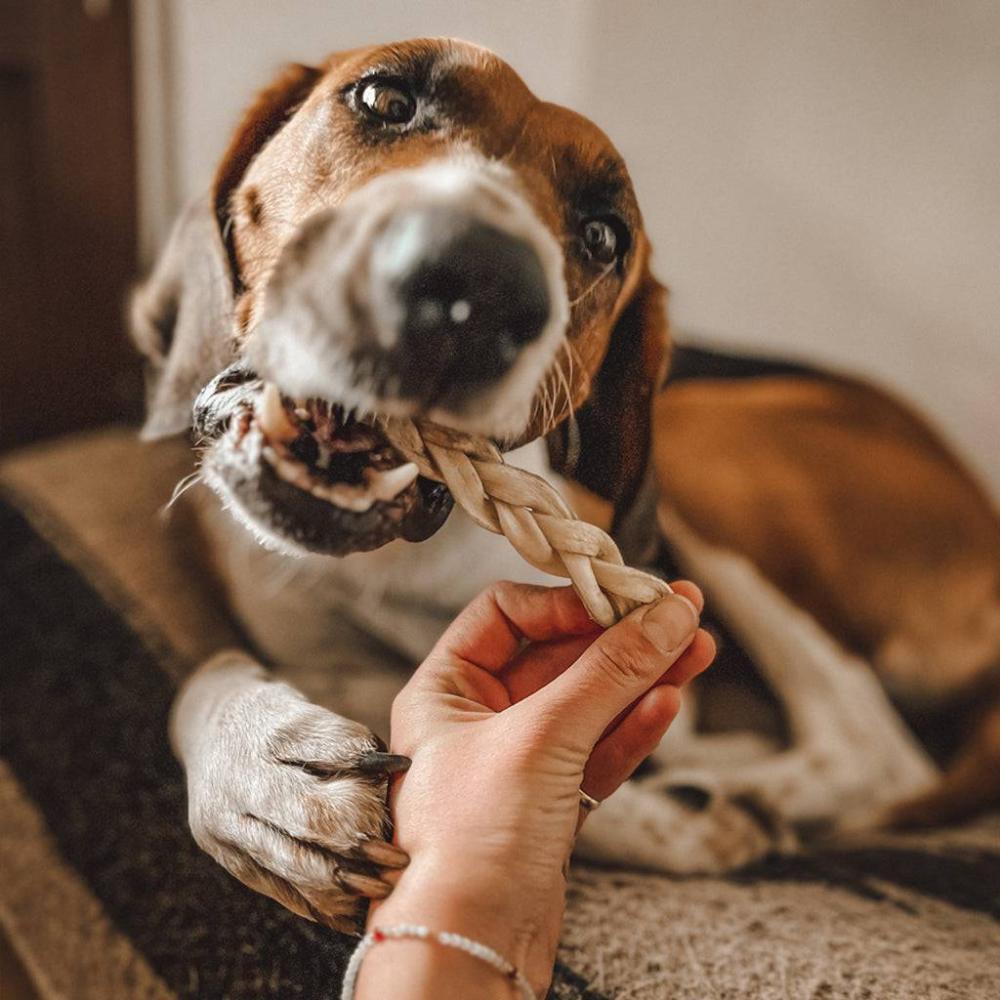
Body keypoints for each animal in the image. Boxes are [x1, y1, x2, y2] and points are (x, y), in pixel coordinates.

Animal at [129, 37, 996, 928]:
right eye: (383, 99)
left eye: (603, 237)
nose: (475, 285)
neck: (393, 558)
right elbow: (212, 670)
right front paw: (262, 773)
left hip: (700, 447)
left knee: (870, 747)